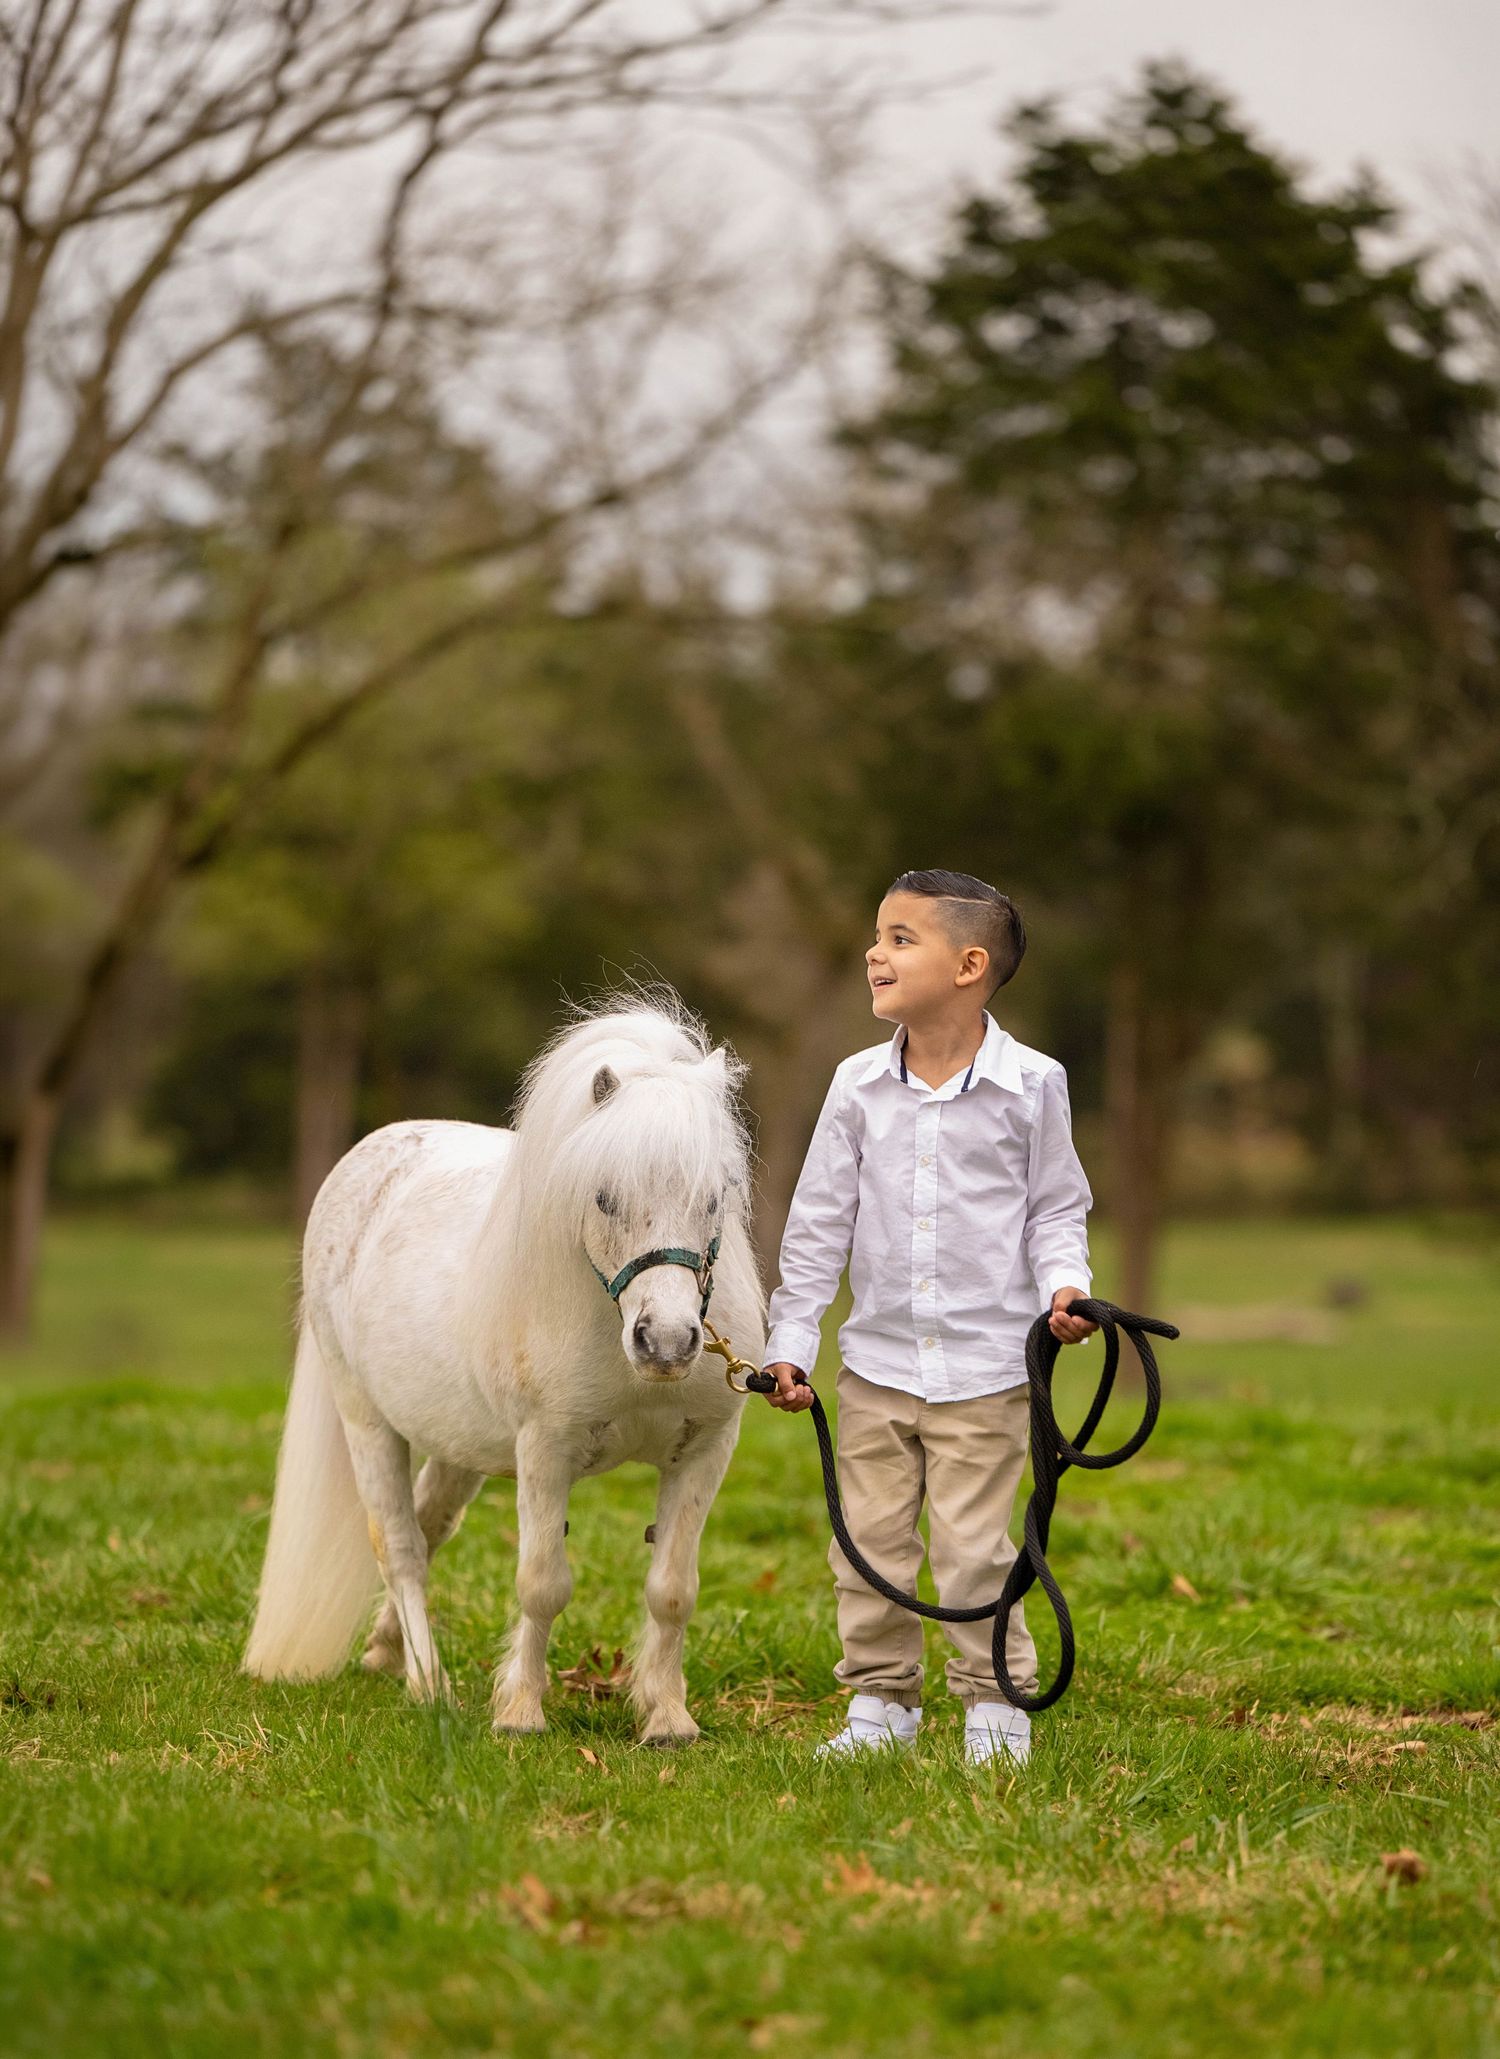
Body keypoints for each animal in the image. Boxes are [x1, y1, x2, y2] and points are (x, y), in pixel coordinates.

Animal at [243, 992, 766, 1746]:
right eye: (604, 1197)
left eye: (716, 1196)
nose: (666, 1343)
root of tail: (364, 1160)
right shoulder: (545, 1451)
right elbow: (542, 1584)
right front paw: (520, 1711)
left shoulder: (704, 1451)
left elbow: (672, 1590)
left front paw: (667, 1717)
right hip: (365, 1422)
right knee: (399, 1545)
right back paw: (427, 1684)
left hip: (458, 1443)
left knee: (429, 1526)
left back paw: (384, 1651)